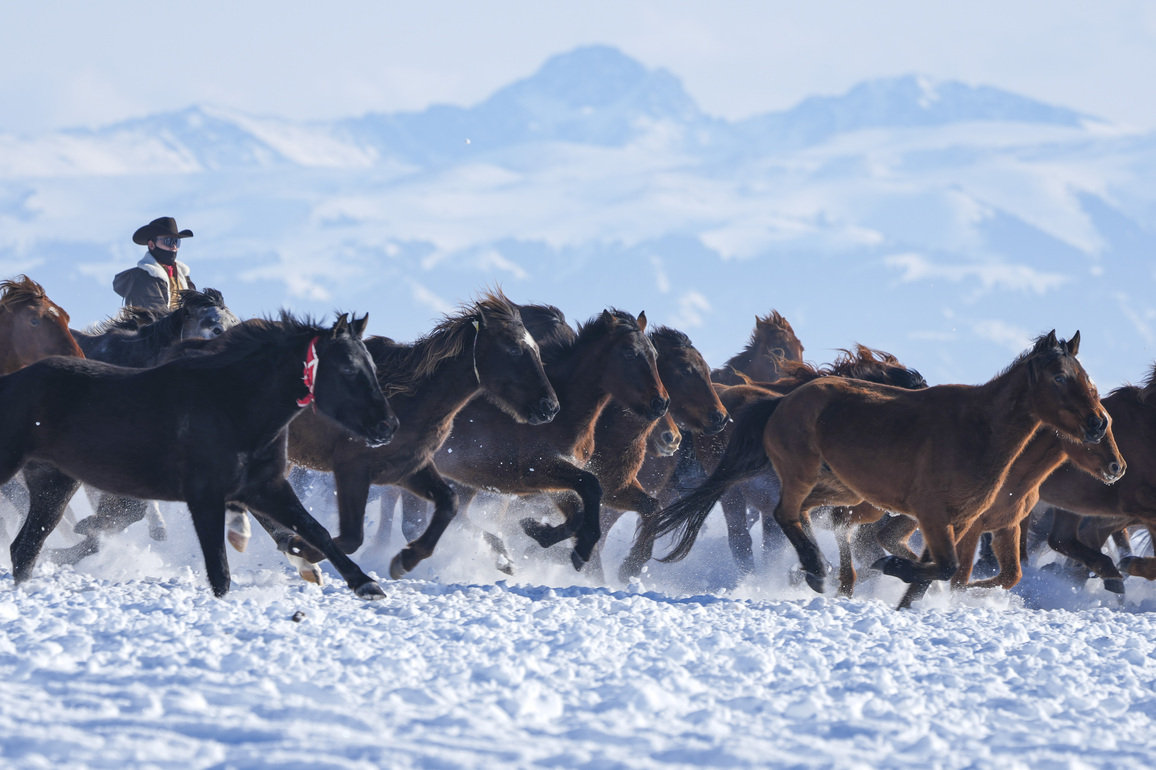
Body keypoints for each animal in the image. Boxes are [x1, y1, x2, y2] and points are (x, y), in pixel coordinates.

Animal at [1, 313, 398, 598]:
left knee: (25, 548)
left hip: (54, 484)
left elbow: (315, 531)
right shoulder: (205, 496)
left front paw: (365, 584)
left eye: (372, 366)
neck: (232, 404)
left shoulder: (265, 487)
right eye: (348, 369)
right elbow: (220, 572)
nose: (388, 426)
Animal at [274, 291, 559, 583]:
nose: (549, 407)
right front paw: (299, 549)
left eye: (536, 349)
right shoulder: (352, 469)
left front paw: (406, 559)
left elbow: (449, 503)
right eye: (513, 349)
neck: (408, 399)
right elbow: (351, 537)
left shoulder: (408, 468)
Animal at [643, 331, 1122, 603]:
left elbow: (944, 570)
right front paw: (893, 570)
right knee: (786, 515)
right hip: (802, 476)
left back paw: (819, 571)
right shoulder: (934, 516)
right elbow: (945, 568)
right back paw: (817, 572)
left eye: (1086, 377)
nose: (1098, 424)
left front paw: (905, 591)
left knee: (810, 517)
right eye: (1059, 377)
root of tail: (782, 400)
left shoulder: (960, 522)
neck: (980, 430)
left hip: (841, 487)